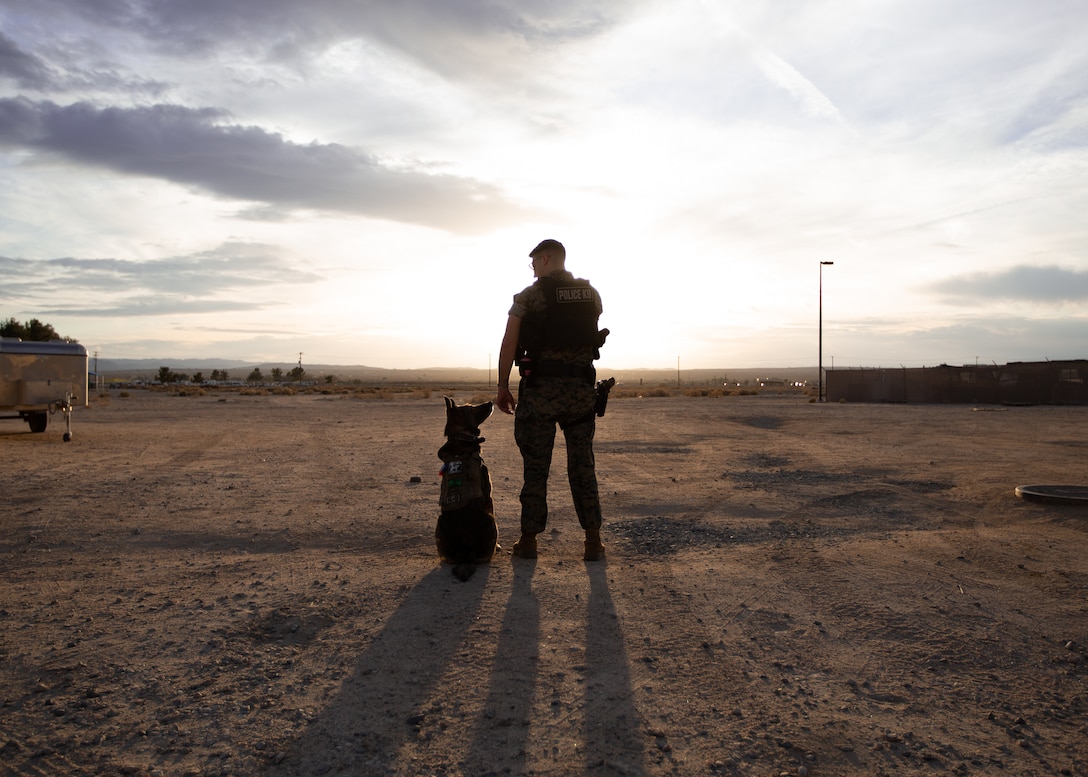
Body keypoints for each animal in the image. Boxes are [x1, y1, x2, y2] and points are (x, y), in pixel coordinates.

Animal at [435, 396, 498, 578]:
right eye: (471, 408)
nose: (491, 402)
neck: (461, 439)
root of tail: (465, 553)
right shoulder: (488, 494)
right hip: (492, 522)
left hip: (439, 522)